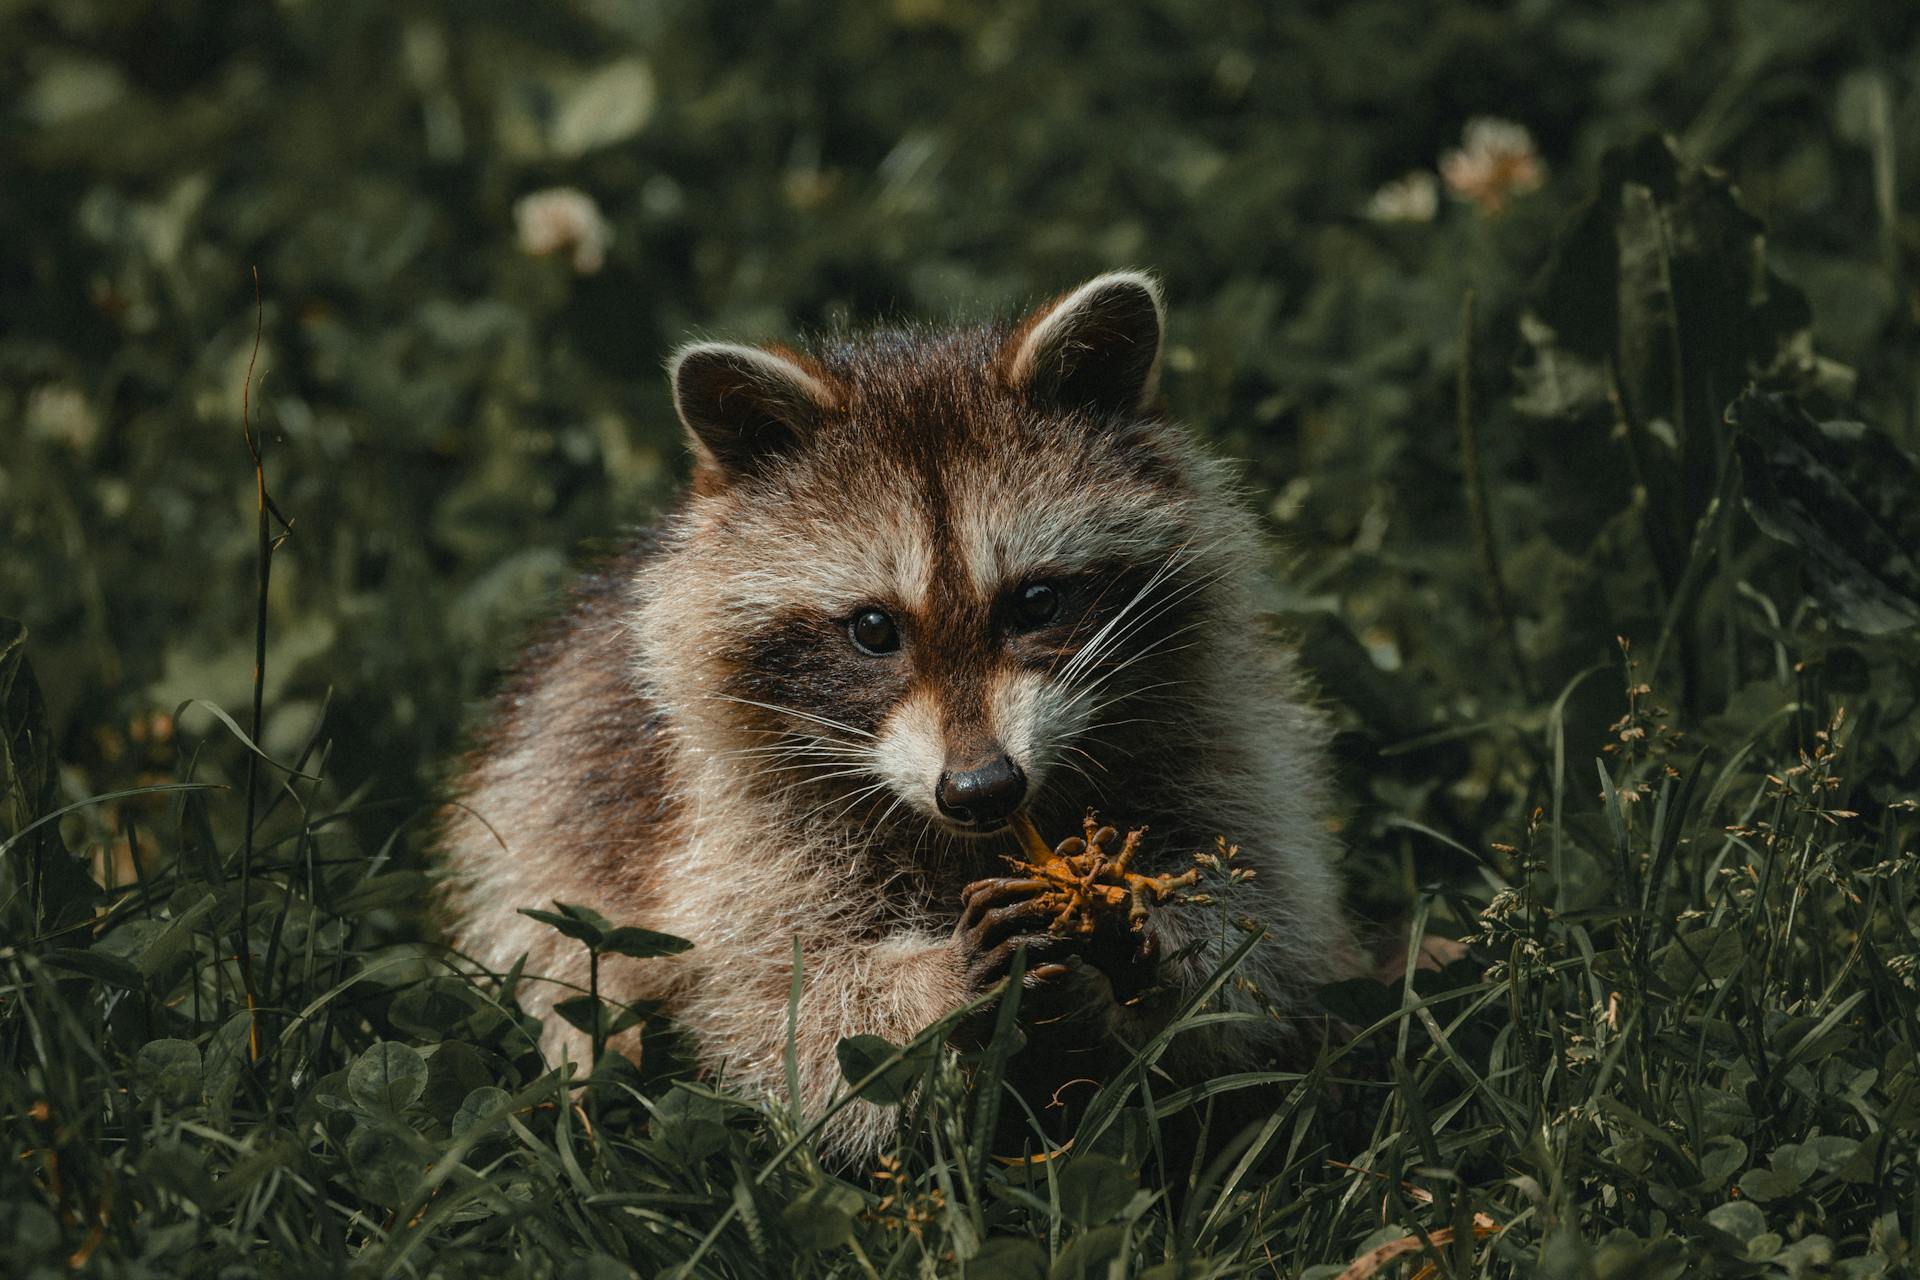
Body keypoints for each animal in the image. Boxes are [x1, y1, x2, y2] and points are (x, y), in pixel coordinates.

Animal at [439, 270, 1367, 1159]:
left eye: (1037, 602)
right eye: (873, 629)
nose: (984, 788)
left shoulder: (1216, 732)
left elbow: (1262, 936)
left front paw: (1154, 941)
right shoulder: (731, 831)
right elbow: (784, 1007)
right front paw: (939, 981)